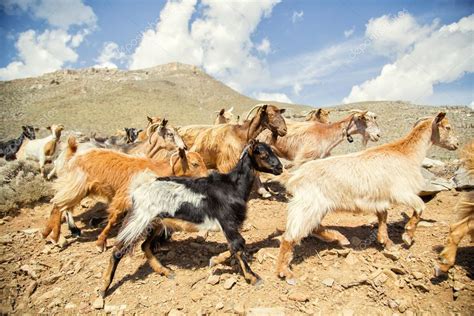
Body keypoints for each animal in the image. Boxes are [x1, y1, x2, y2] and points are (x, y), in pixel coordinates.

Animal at [42, 138, 207, 252]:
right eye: (194, 164)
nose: (207, 177)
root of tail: (74, 154)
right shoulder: (123, 198)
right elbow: (113, 219)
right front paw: (100, 242)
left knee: (59, 205)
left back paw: (50, 233)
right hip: (76, 186)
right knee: (58, 204)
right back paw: (54, 235)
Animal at [100, 140, 284, 296]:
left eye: (272, 150)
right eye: (263, 154)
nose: (280, 168)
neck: (232, 186)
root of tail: (139, 188)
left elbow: (234, 247)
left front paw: (215, 260)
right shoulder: (228, 221)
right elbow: (238, 246)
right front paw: (253, 278)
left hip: (157, 222)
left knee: (145, 246)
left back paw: (165, 271)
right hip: (138, 220)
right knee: (118, 251)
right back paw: (103, 288)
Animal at [274, 113, 460, 284]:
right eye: (448, 127)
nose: (457, 144)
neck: (406, 153)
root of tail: (295, 176)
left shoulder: (381, 197)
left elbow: (383, 216)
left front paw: (386, 241)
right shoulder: (402, 192)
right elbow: (420, 207)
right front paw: (407, 236)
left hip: (315, 206)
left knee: (313, 227)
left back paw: (339, 238)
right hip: (308, 205)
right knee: (290, 236)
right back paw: (284, 271)